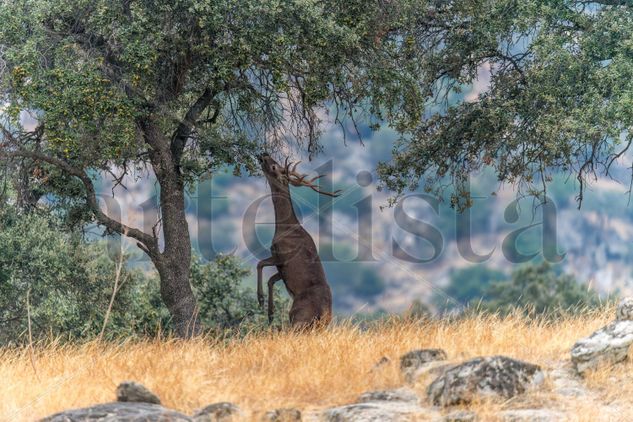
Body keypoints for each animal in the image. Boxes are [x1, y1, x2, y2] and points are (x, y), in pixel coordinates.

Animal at [256, 153, 340, 328]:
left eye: (274, 166)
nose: (264, 154)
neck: (284, 227)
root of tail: (324, 314)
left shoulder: (281, 255)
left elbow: (260, 264)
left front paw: (260, 299)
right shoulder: (282, 269)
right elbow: (271, 280)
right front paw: (270, 313)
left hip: (298, 316)